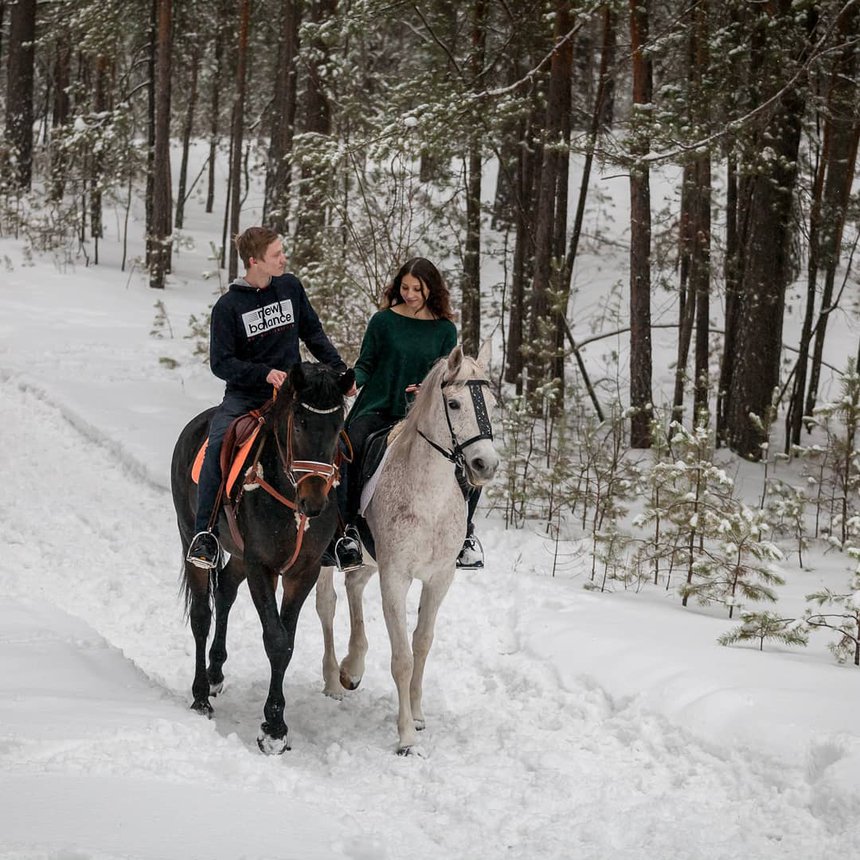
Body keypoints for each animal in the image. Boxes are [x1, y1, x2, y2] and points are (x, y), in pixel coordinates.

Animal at [171, 362, 352, 752]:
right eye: (298, 424)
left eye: (337, 428)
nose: (314, 501)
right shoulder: (262, 567)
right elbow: (276, 640)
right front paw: (273, 730)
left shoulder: (303, 571)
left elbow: (287, 641)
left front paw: (275, 725)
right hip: (190, 536)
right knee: (202, 614)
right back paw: (200, 696)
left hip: (239, 553)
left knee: (224, 590)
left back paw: (215, 674)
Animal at [318, 342, 500, 752]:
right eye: (454, 404)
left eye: (493, 403)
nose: (485, 464)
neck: (429, 497)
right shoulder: (395, 577)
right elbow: (401, 657)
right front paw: (405, 738)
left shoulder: (439, 579)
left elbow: (422, 644)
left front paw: (416, 716)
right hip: (328, 558)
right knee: (327, 604)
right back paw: (335, 680)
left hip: (370, 559)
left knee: (354, 586)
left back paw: (352, 668)